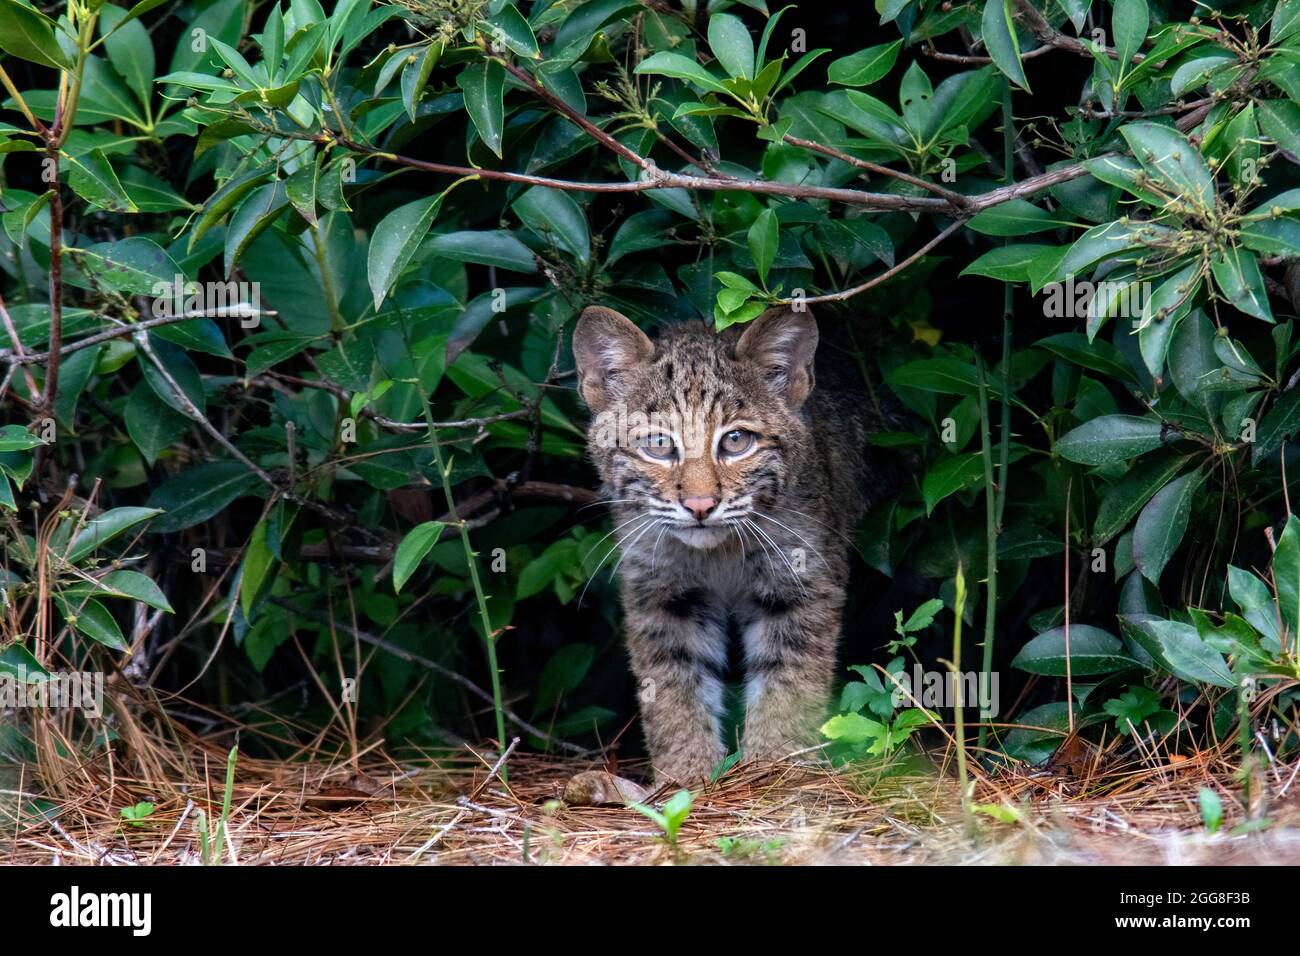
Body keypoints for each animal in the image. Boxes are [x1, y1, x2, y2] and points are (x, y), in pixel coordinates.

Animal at [577, 306, 863, 785]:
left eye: (735, 441)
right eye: (658, 444)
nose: (699, 505)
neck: (719, 551)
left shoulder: (801, 580)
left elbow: (791, 675)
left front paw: (778, 769)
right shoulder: (659, 589)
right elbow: (671, 684)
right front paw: (685, 777)